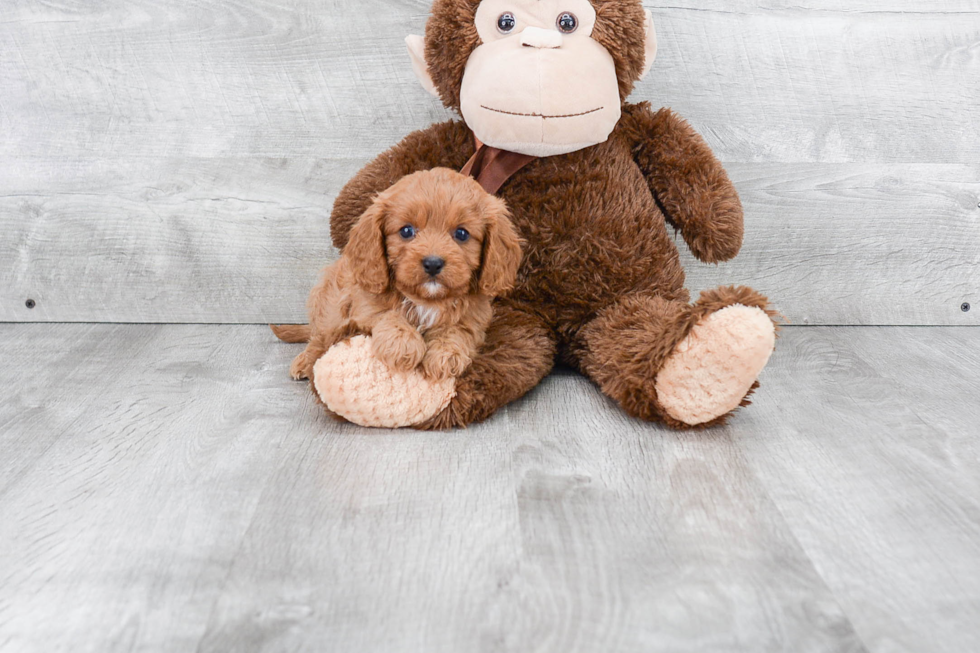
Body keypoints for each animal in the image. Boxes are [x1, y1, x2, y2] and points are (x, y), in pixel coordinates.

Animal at [272, 167, 524, 382]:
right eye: (406, 231)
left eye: (461, 234)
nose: (433, 264)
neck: (427, 301)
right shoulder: (364, 303)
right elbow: (387, 314)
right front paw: (404, 343)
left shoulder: (475, 317)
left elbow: (457, 329)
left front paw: (446, 355)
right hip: (331, 304)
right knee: (320, 336)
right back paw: (304, 361)